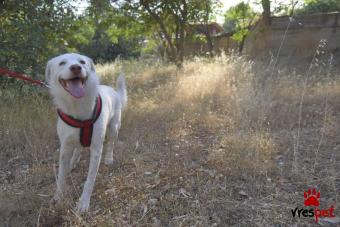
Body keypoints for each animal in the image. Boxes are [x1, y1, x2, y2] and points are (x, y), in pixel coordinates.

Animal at [45, 53, 127, 213]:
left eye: (82, 62)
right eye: (62, 63)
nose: (76, 68)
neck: (77, 105)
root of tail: (113, 90)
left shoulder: (96, 149)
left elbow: (90, 180)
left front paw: (83, 203)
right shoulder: (65, 147)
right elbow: (61, 176)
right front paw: (58, 196)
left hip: (113, 128)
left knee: (110, 143)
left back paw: (109, 157)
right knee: (78, 148)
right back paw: (73, 162)